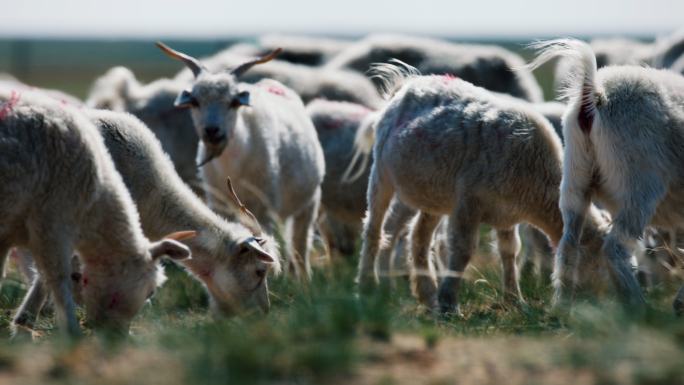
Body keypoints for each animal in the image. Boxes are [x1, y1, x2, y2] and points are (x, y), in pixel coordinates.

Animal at [159, 42, 324, 280]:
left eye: (233, 102)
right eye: (195, 102)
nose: (212, 130)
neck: (232, 168)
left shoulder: (264, 203)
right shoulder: (219, 203)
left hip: (309, 200)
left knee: (300, 241)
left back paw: (302, 278)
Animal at [356, 62, 608, 312]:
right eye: (600, 263)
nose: (597, 304)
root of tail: (405, 85)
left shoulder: (506, 211)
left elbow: (509, 250)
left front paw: (514, 299)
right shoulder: (469, 201)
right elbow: (463, 249)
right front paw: (449, 303)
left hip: (434, 193)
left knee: (419, 237)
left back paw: (427, 294)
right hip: (382, 171)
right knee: (373, 227)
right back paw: (368, 285)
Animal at [528, 37, 684, 310]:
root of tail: (595, 94)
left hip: (575, 175)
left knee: (568, 244)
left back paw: (563, 303)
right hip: (638, 185)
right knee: (615, 251)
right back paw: (638, 306)